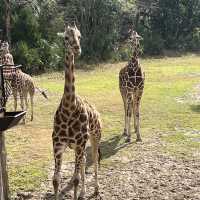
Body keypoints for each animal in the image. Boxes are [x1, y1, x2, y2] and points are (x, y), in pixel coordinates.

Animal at [52, 22, 101, 199]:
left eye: (80, 36)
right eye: (66, 37)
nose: (77, 49)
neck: (69, 107)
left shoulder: (80, 143)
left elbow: (75, 180)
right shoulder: (58, 144)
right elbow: (56, 180)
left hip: (95, 137)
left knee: (94, 160)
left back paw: (96, 189)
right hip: (76, 146)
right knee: (84, 162)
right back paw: (83, 192)